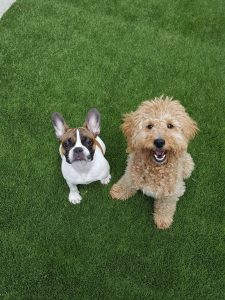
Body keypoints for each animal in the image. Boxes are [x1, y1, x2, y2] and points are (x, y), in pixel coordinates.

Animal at [110, 96, 198, 230]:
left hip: (188, 165)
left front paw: (163, 220)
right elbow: (126, 183)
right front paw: (118, 191)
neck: (155, 168)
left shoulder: (171, 192)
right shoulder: (131, 172)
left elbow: (165, 206)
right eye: (149, 126)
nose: (159, 142)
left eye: (170, 125)